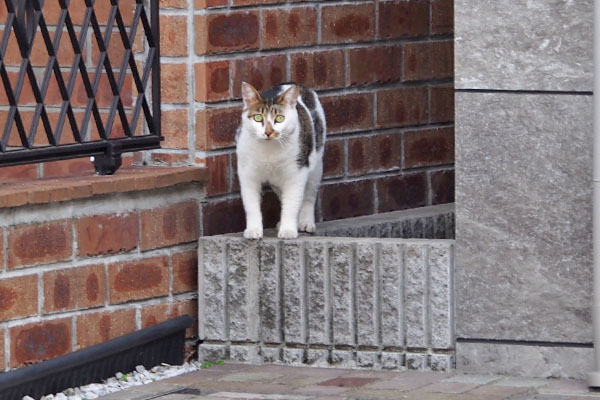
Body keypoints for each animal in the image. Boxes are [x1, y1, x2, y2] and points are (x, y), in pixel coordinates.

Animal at [236, 81, 328, 238]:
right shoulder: (247, 173)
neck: (269, 151)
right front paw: (253, 230)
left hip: (316, 165)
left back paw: (305, 223)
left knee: (308, 196)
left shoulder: (297, 172)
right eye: (258, 118)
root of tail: (296, 84)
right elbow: (251, 205)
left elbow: (292, 204)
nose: (268, 132)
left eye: (280, 119)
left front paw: (288, 231)